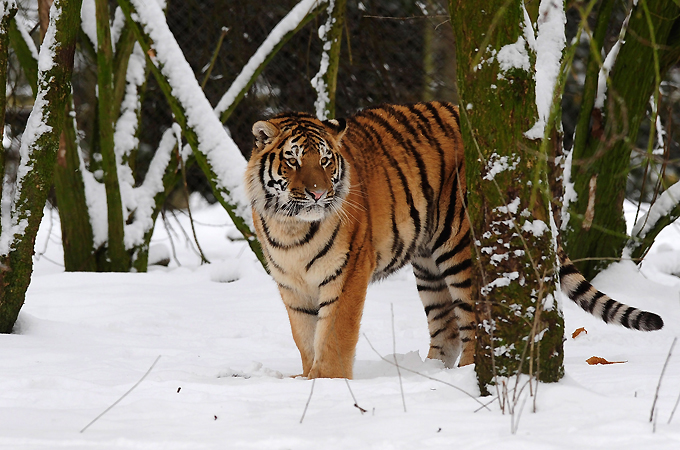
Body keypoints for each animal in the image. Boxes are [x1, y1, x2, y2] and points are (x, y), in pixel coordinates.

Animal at [244, 101, 664, 380]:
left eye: (326, 161)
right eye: (293, 161)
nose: (319, 193)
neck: (291, 226)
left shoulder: (346, 275)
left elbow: (333, 336)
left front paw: (327, 385)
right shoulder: (292, 286)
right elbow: (305, 339)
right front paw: (307, 381)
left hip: (461, 249)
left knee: (475, 322)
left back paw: (464, 375)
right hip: (428, 264)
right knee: (444, 327)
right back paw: (430, 372)